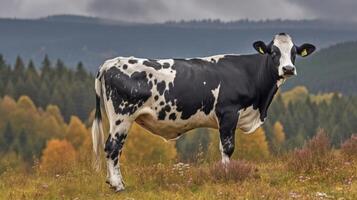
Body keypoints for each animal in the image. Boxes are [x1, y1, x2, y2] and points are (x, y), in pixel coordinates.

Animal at [92, 32, 314, 191]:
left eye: (294, 52)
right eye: (273, 52)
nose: (288, 69)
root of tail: (111, 62)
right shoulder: (229, 113)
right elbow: (227, 147)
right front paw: (226, 175)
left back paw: (113, 182)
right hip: (122, 116)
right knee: (112, 147)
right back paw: (118, 185)